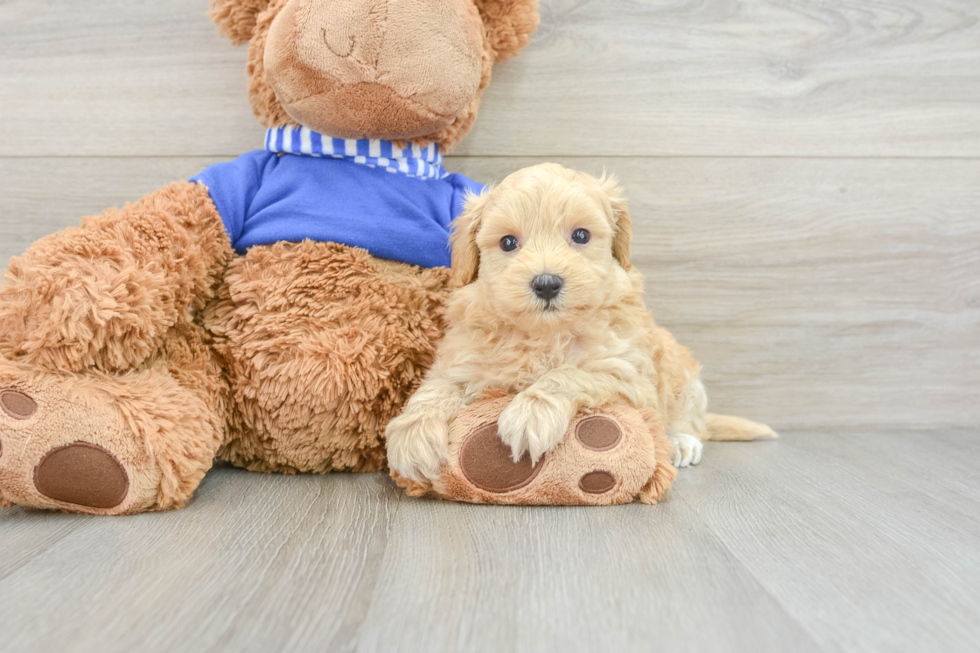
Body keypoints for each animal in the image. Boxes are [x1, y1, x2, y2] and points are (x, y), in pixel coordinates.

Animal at [386, 160, 776, 482]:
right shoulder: (462, 362)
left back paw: (681, 440)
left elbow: (570, 373)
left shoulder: (627, 374)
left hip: (679, 369)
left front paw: (530, 414)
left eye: (581, 235)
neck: (544, 334)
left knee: (690, 416)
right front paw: (411, 435)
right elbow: (434, 390)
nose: (546, 283)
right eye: (508, 242)